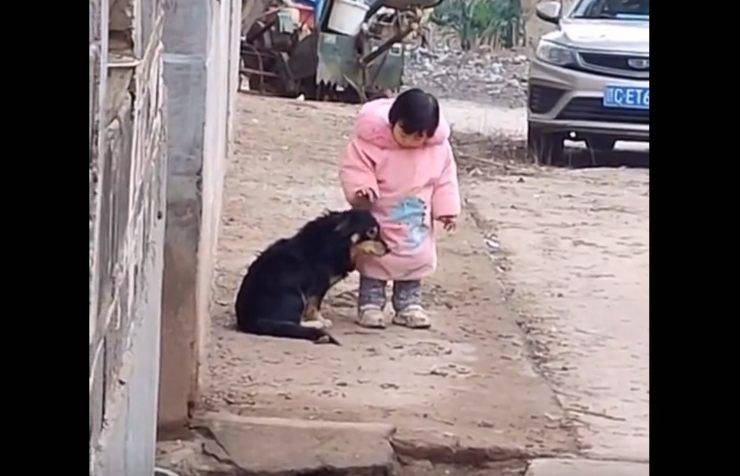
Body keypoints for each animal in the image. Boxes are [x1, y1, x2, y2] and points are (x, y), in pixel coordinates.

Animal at [236, 210, 388, 344]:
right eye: (371, 232)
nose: (388, 249)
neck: (338, 241)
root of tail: (248, 319)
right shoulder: (318, 287)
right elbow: (314, 307)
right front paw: (321, 320)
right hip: (295, 296)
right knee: (293, 322)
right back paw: (315, 325)